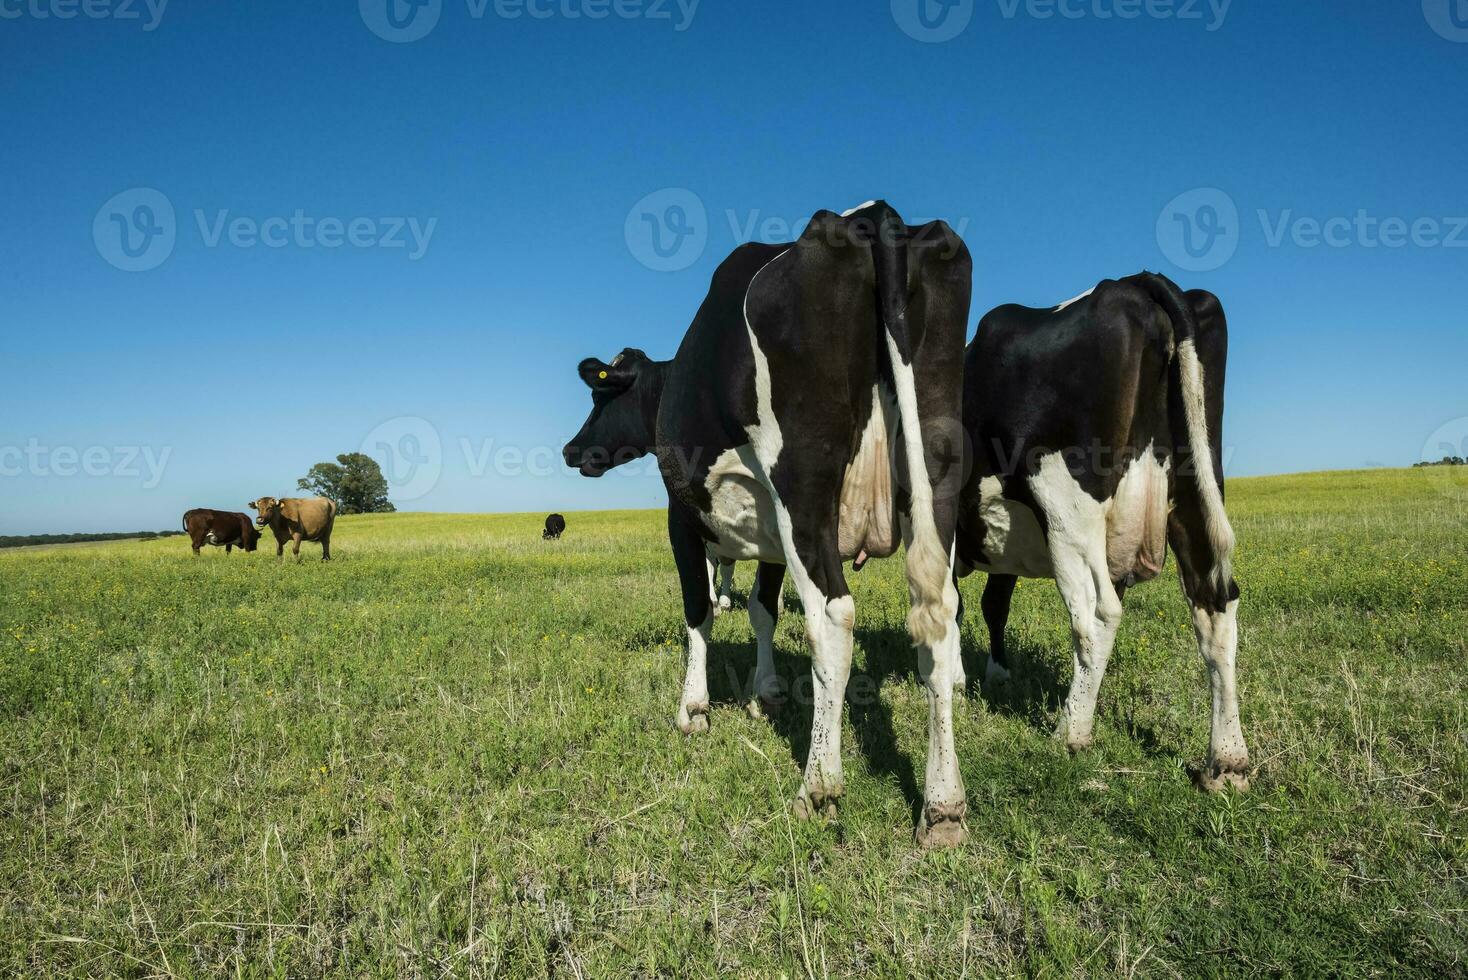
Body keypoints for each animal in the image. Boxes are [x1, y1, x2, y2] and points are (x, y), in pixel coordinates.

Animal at [563, 200, 974, 845]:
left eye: (600, 398)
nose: (570, 449)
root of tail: (871, 214)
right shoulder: (771, 535)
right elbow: (762, 609)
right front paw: (768, 693)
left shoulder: (684, 519)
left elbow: (699, 611)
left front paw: (694, 708)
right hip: (935, 479)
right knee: (940, 614)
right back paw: (943, 805)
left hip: (802, 489)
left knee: (833, 616)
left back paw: (819, 785)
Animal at [957, 271, 1256, 792]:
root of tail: (1132, 282)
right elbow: (993, 604)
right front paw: (996, 675)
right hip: (1195, 488)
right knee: (1215, 605)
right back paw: (1227, 760)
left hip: (1066, 504)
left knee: (1097, 613)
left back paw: (1070, 732)